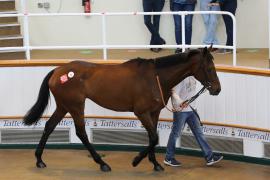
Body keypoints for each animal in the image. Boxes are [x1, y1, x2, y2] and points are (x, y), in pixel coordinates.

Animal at [23, 46, 220, 172]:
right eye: (209, 68)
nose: (217, 89)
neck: (155, 77)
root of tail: (58, 70)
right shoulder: (141, 112)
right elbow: (154, 138)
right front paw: (136, 161)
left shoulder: (153, 112)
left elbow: (153, 137)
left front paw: (155, 164)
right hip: (75, 106)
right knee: (81, 133)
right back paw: (102, 163)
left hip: (63, 106)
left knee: (49, 126)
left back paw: (39, 160)